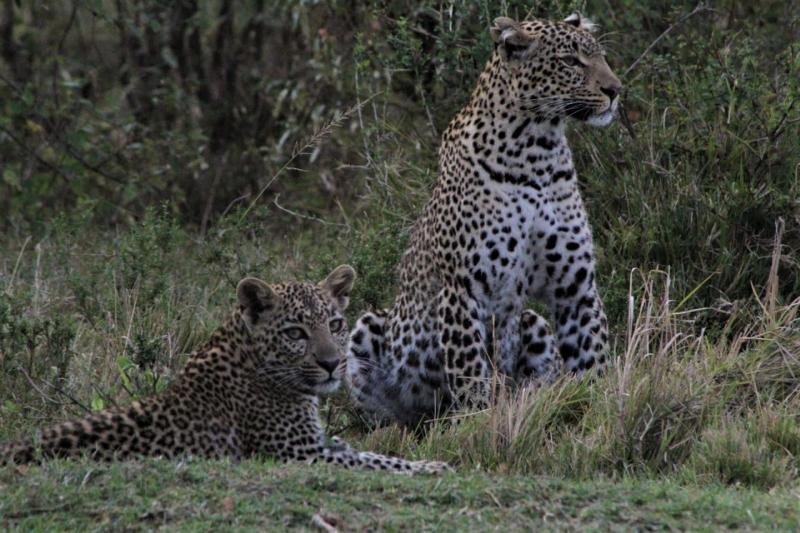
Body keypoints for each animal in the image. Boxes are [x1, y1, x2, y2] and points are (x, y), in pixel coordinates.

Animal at [1, 266, 449, 474]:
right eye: (295, 332)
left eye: (336, 325)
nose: (331, 363)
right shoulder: (299, 453)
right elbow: (378, 462)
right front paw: (433, 467)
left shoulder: (320, 444)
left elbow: (373, 453)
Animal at [347, 13, 621, 426]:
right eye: (571, 61)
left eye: (600, 56)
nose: (616, 90)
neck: (536, 151)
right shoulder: (462, 289)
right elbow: (470, 370)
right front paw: (476, 424)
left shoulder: (575, 283)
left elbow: (592, 351)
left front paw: (598, 404)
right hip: (366, 330)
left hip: (531, 321)